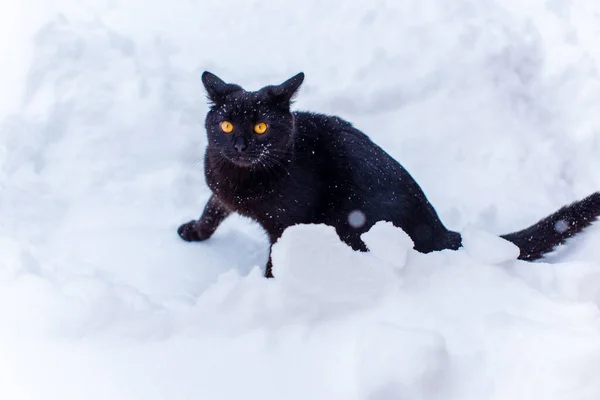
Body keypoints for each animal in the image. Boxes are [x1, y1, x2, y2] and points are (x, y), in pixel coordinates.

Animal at [178, 72, 600, 278]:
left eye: (261, 127)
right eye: (227, 125)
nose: (240, 146)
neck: (240, 178)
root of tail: (441, 230)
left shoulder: (290, 224)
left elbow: (276, 258)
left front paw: (272, 286)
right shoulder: (220, 188)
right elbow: (212, 208)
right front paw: (195, 232)